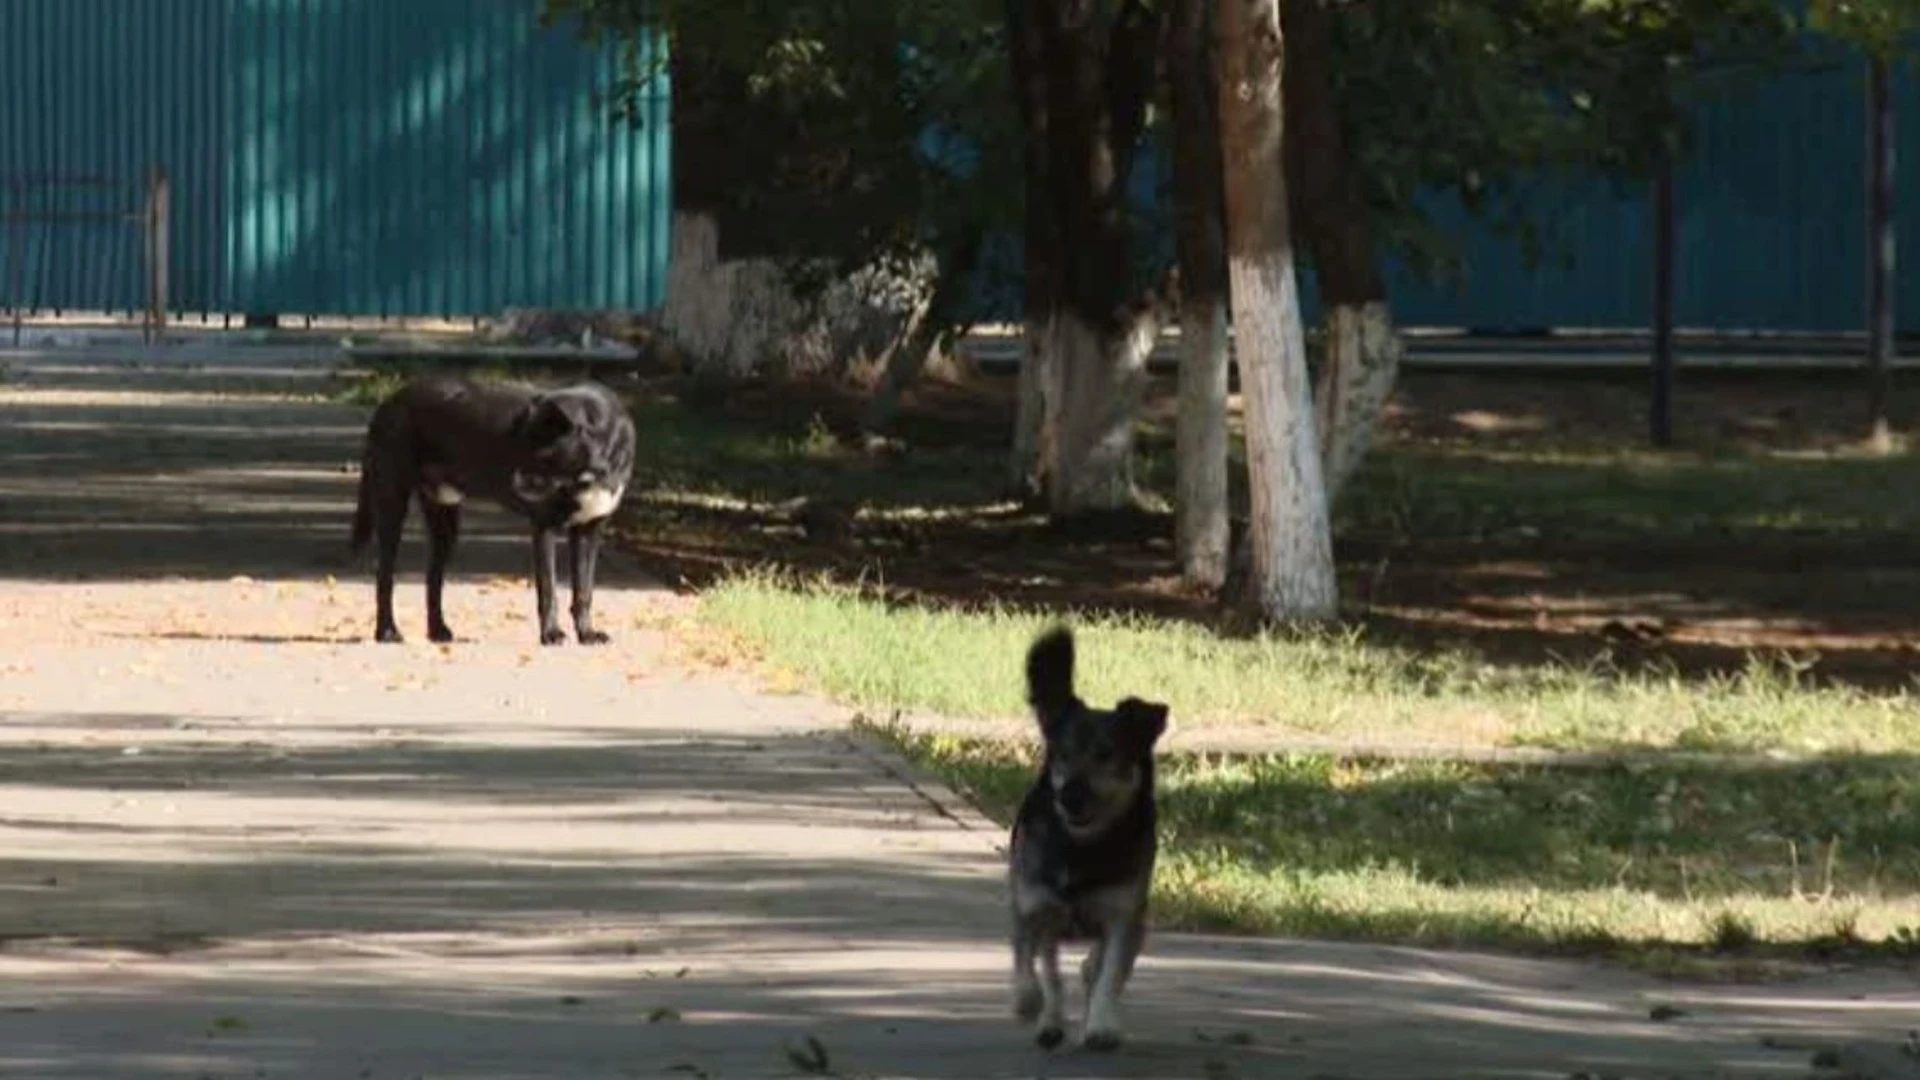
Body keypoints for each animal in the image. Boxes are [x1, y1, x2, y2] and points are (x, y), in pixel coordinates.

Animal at [351, 374, 637, 641]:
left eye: (544, 456)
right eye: (520, 445)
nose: (513, 481)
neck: (589, 472)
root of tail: (389, 402)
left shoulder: (589, 530)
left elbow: (584, 590)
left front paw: (587, 634)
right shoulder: (544, 526)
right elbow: (549, 589)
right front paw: (551, 634)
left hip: (444, 518)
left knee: (433, 578)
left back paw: (438, 630)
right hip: (391, 503)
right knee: (385, 575)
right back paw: (387, 631)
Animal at [1006, 626, 1167, 1045]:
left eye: (1105, 755)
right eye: (1062, 754)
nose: (1069, 795)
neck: (1080, 848)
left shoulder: (1123, 915)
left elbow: (1109, 974)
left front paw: (1102, 1024)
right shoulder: (1036, 907)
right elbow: (1039, 971)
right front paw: (1035, 1007)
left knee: (1096, 967)